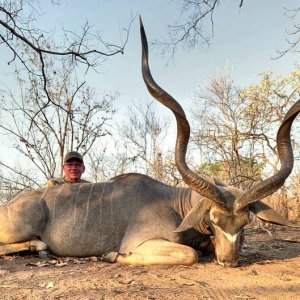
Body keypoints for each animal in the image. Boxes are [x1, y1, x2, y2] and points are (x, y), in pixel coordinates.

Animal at [0, 18, 300, 268]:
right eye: (213, 219)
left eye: (245, 221)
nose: (229, 261)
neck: (176, 204)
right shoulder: (143, 242)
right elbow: (189, 254)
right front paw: (111, 254)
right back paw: (39, 246)